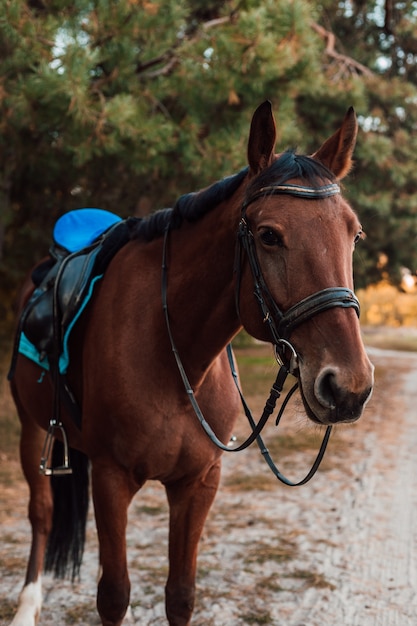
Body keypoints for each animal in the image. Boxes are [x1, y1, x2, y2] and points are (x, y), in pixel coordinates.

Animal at [8, 102, 372, 624]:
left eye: (354, 234)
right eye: (268, 236)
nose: (349, 387)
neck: (174, 359)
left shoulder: (198, 483)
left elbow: (181, 595)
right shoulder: (112, 480)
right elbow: (114, 594)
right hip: (31, 425)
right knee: (41, 513)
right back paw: (27, 604)